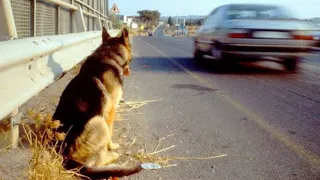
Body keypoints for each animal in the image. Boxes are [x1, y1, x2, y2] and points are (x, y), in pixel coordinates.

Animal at [52, 27, 141, 179]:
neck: (110, 54)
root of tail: (66, 158)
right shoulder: (110, 111)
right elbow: (111, 133)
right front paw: (112, 146)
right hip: (98, 121)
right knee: (96, 161)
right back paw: (113, 155)